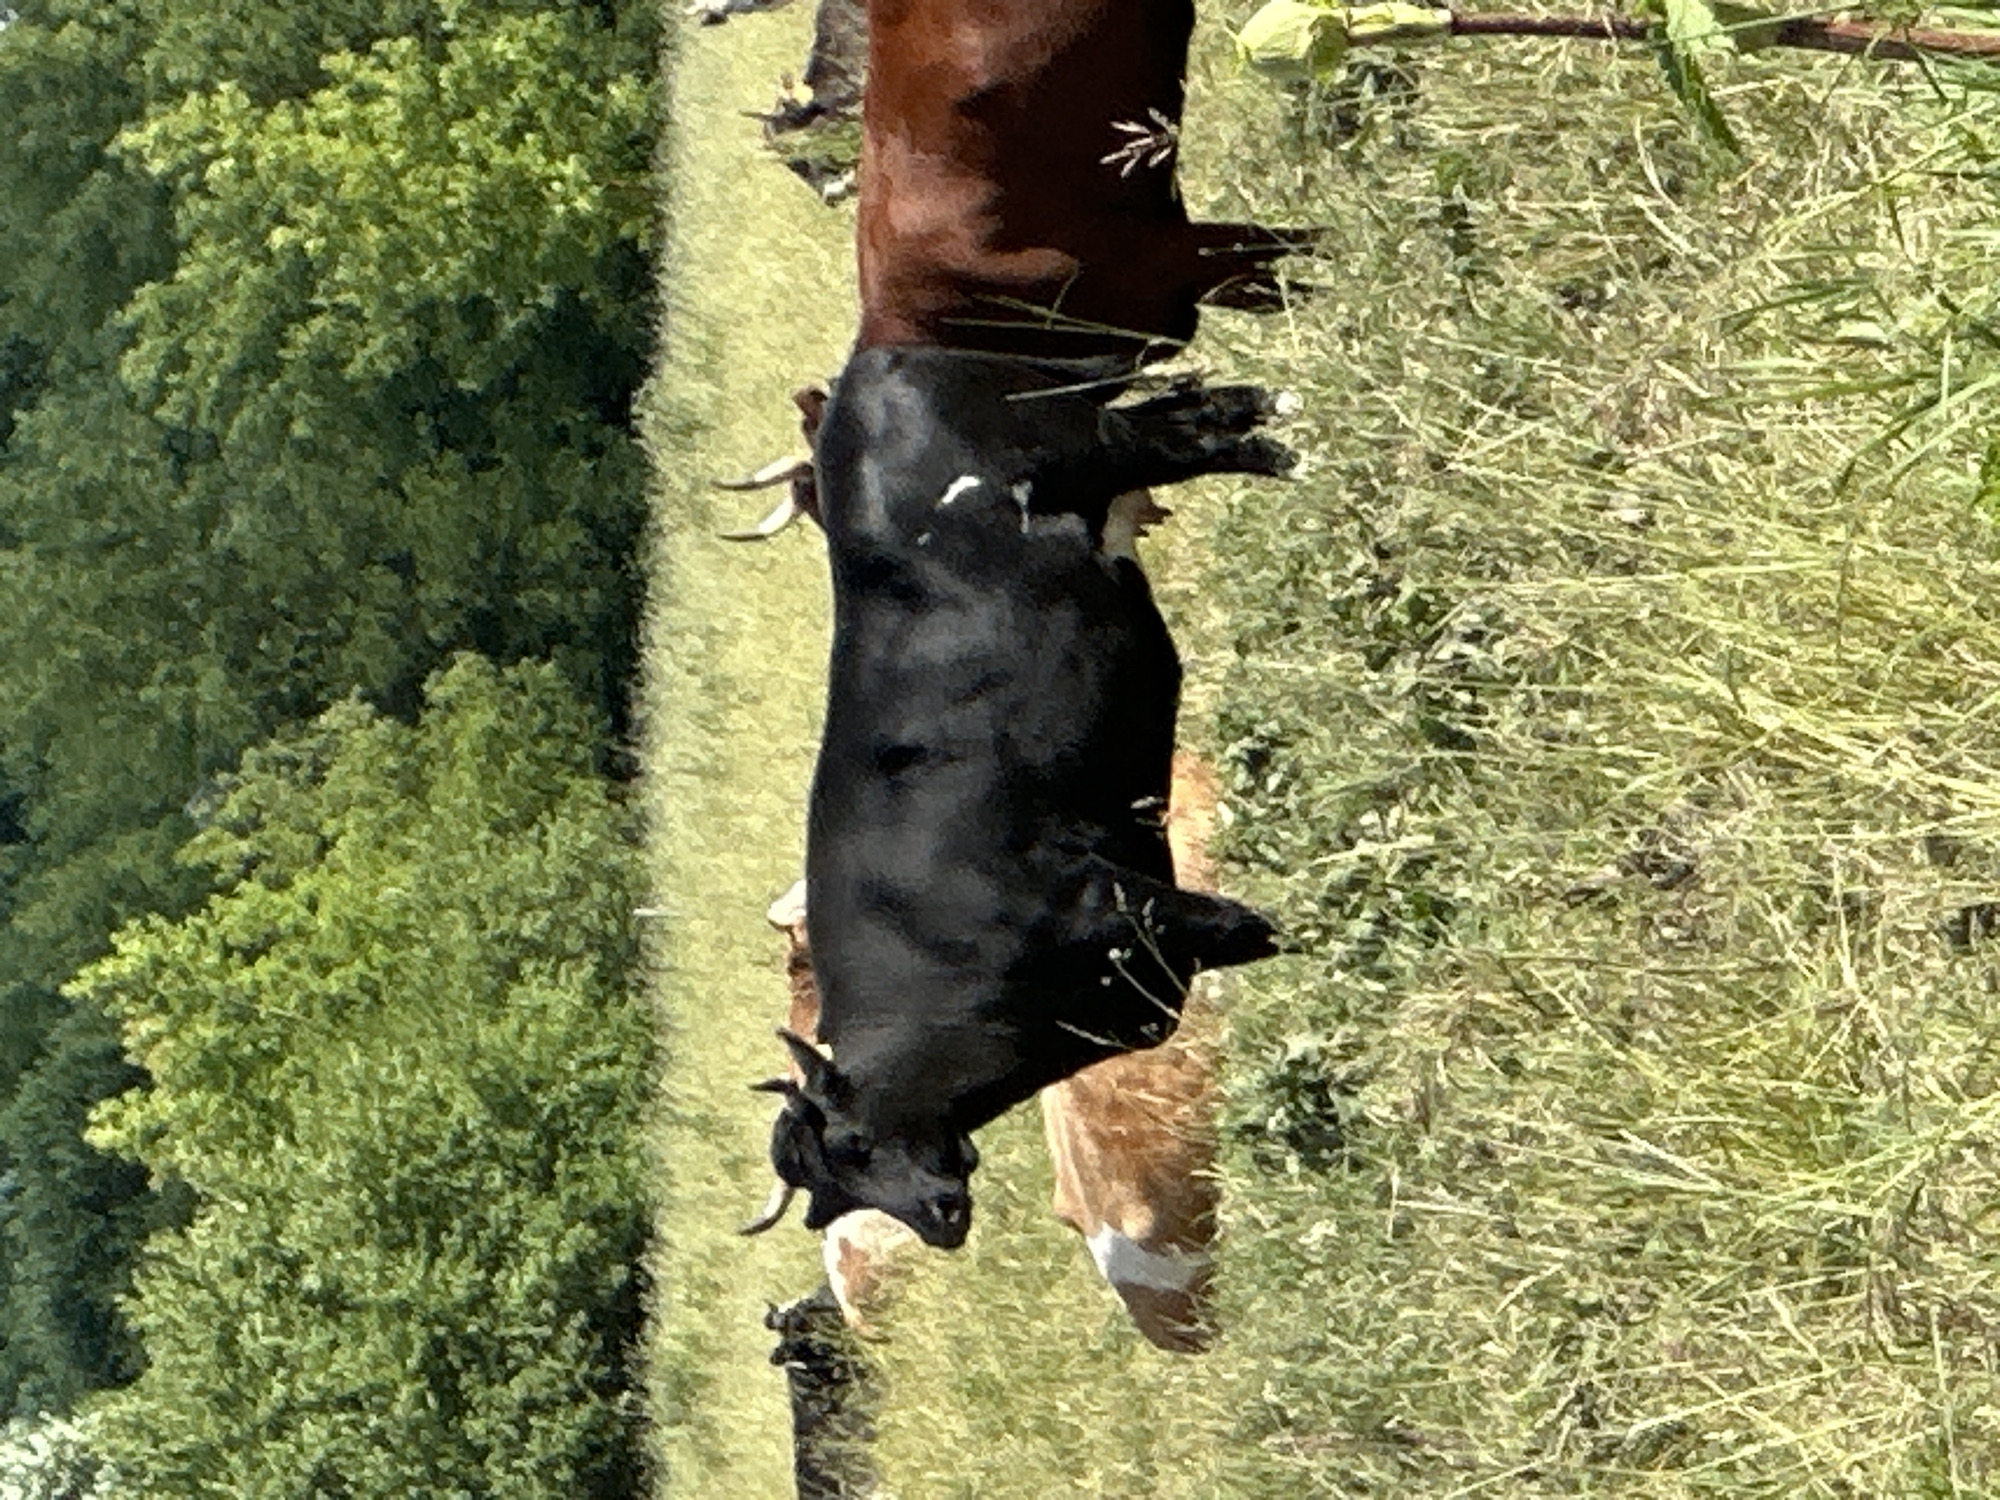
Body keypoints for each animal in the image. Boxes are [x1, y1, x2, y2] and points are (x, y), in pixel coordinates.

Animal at [747, 345, 1288, 1249]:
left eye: (853, 1144)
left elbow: (1263, 929)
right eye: (833, 1197)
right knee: (1200, 416)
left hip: (1090, 440)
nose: (938, 1219)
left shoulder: (1133, 908)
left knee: (1192, 437)